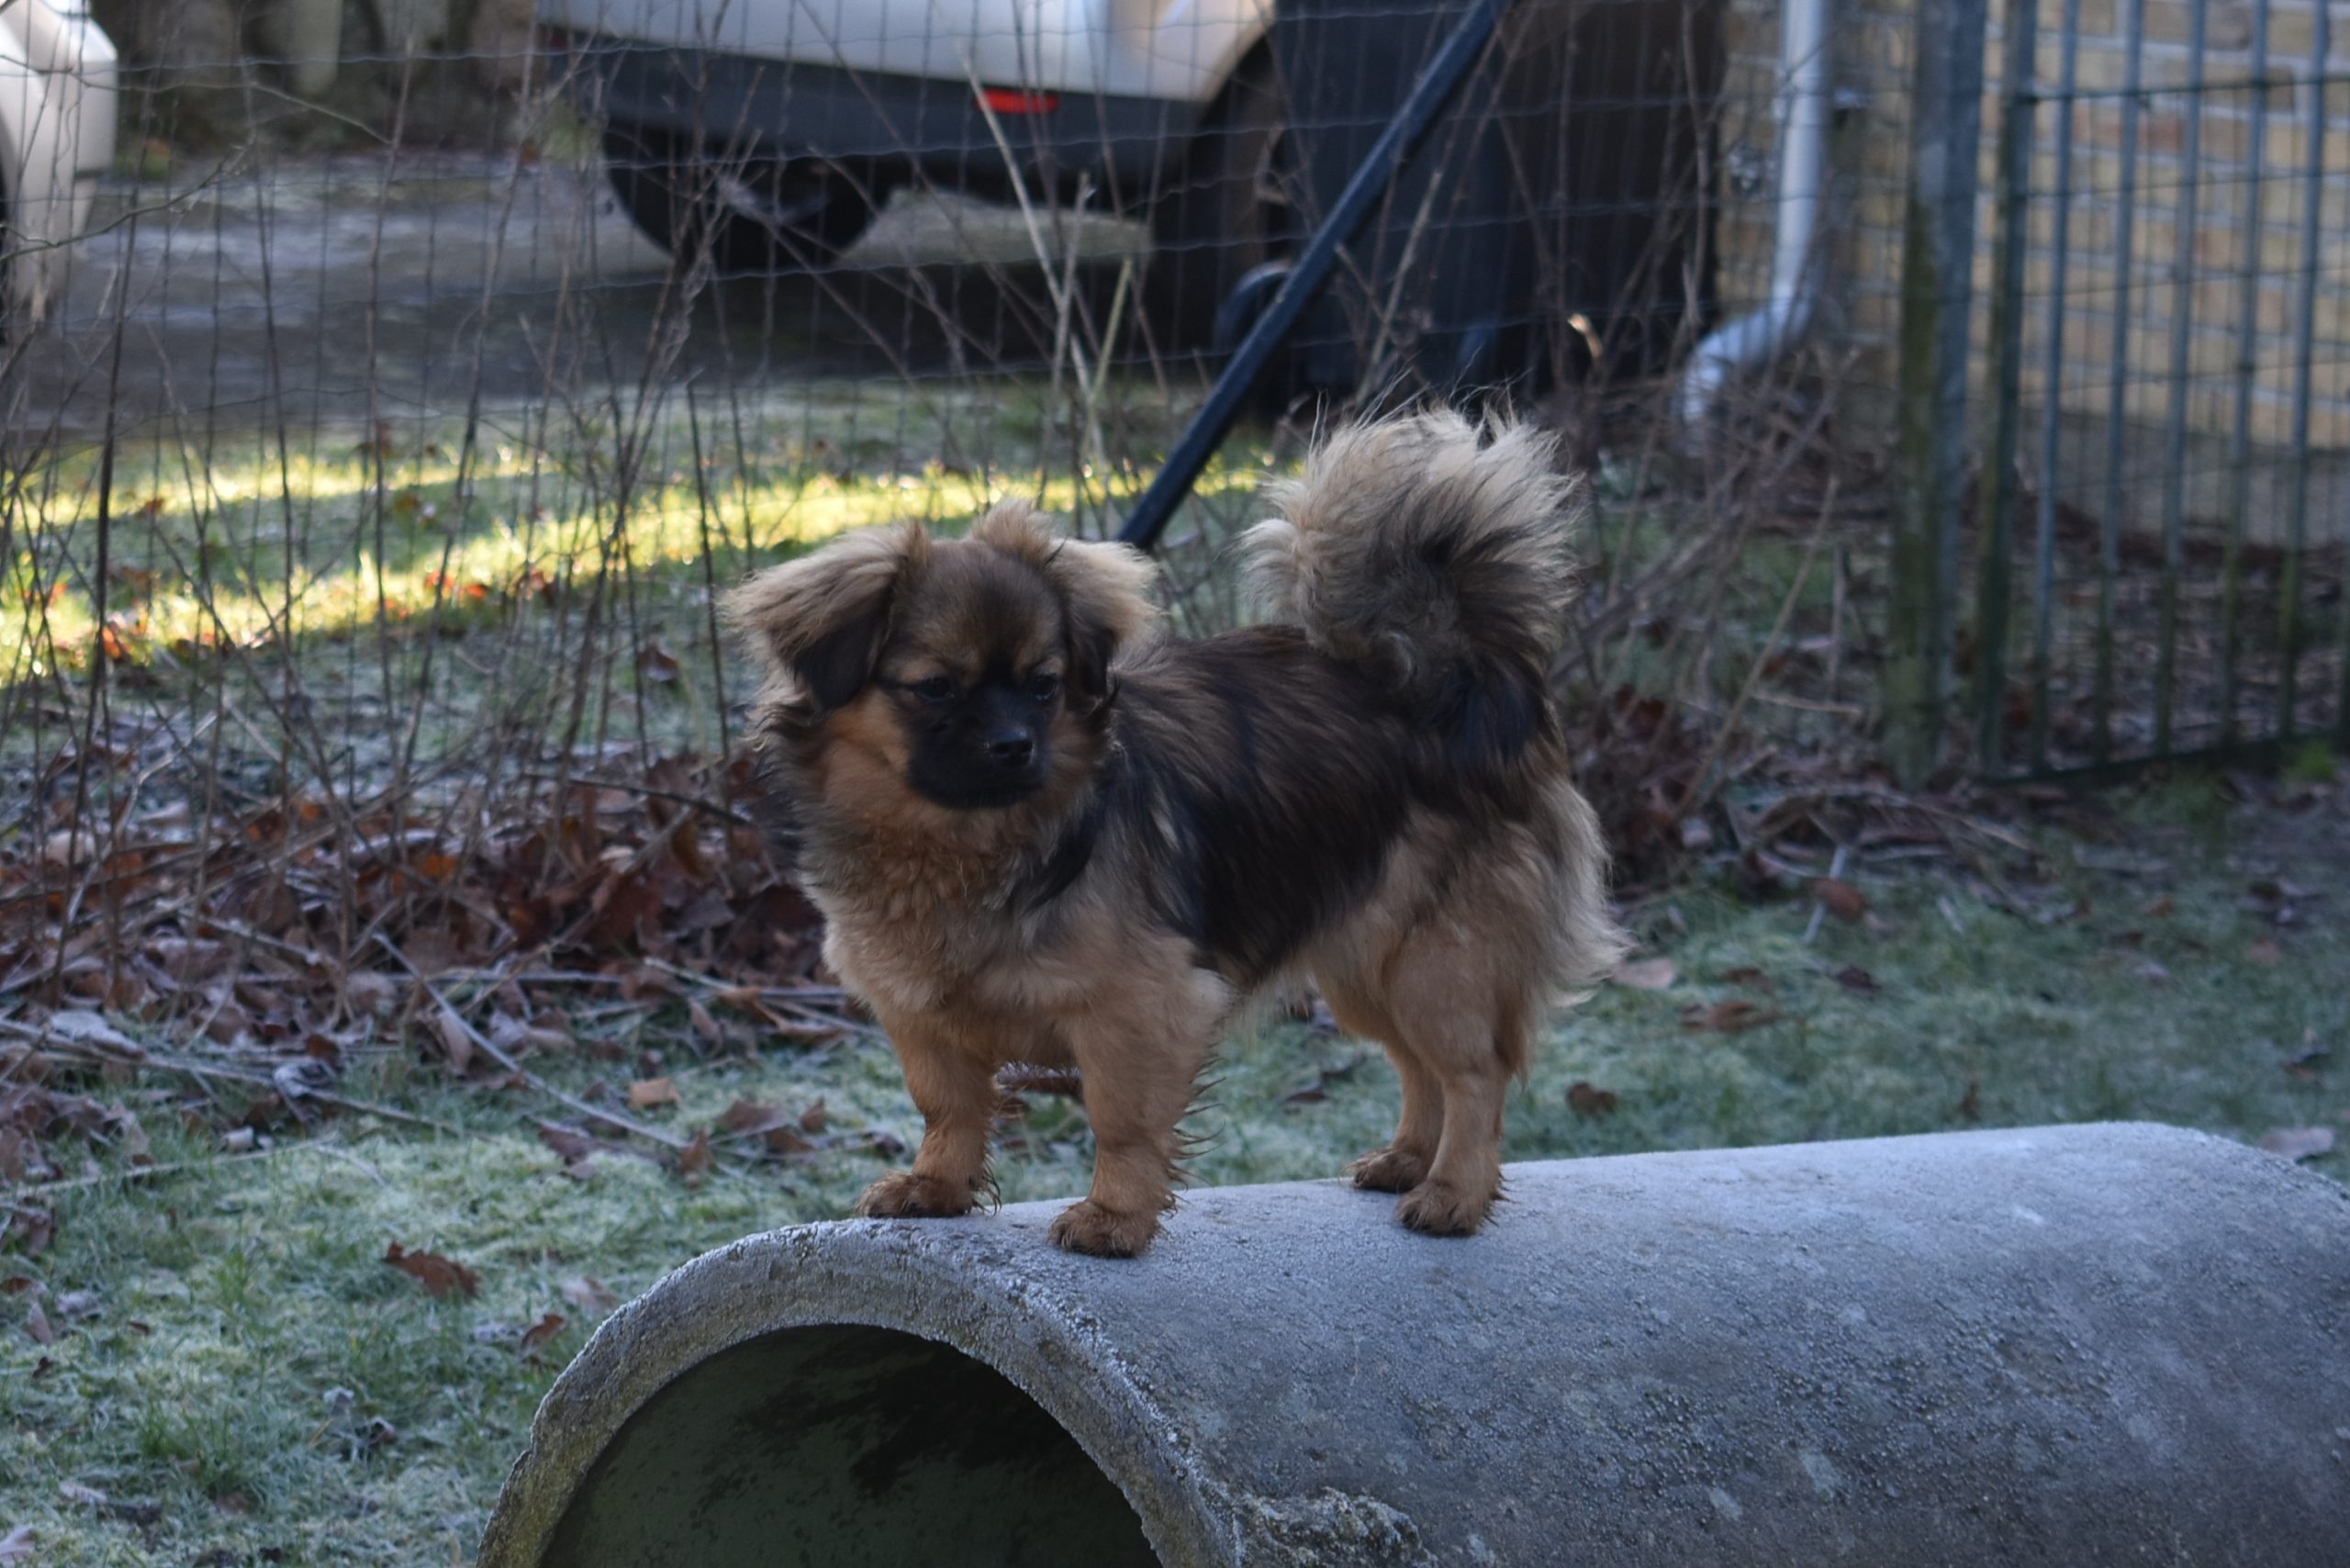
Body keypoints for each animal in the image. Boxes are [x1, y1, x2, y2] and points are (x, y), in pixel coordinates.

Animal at [724, 410, 1624, 1256]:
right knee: (1417, 1067)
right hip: (1367, 964)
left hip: (1434, 962)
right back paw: (1407, 1161)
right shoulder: (921, 1015)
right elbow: (948, 1108)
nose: (1016, 745)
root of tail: (1457, 681)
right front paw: (936, 1188)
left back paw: (1453, 1193)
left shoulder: (1138, 1008)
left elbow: (1121, 1120)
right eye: (936, 689)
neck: (964, 845)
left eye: (1044, 686)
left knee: (1472, 1075)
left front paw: (1115, 1219)